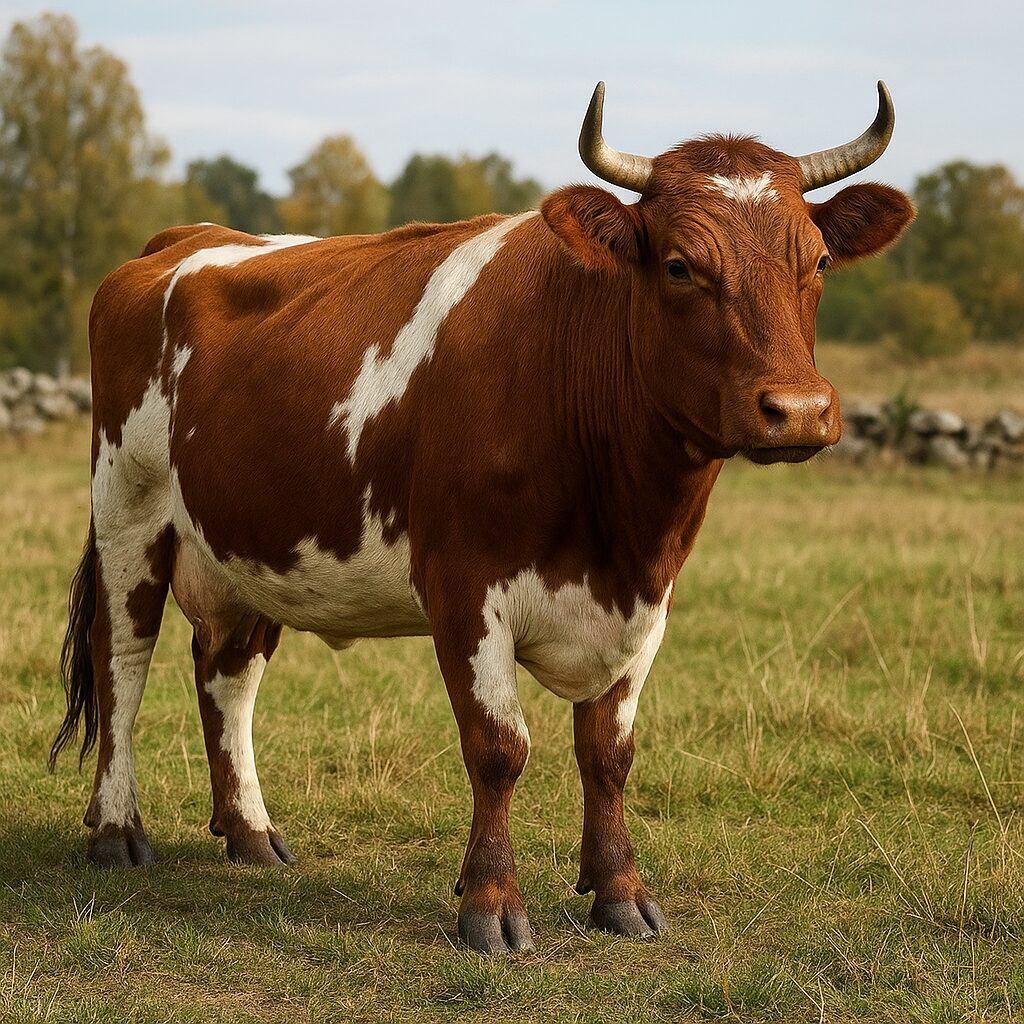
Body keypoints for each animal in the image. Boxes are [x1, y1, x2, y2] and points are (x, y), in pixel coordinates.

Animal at [50, 81, 913, 952]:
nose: (798, 410)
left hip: (250, 548)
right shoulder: (465, 586)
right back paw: (116, 831)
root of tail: (185, 238)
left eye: (819, 261)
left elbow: (609, 753)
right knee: (122, 658)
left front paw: (621, 892)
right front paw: (491, 904)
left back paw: (252, 832)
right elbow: (499, 747)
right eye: (679, 265)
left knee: (227, 675)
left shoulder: (650, 600)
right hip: (128, 511)